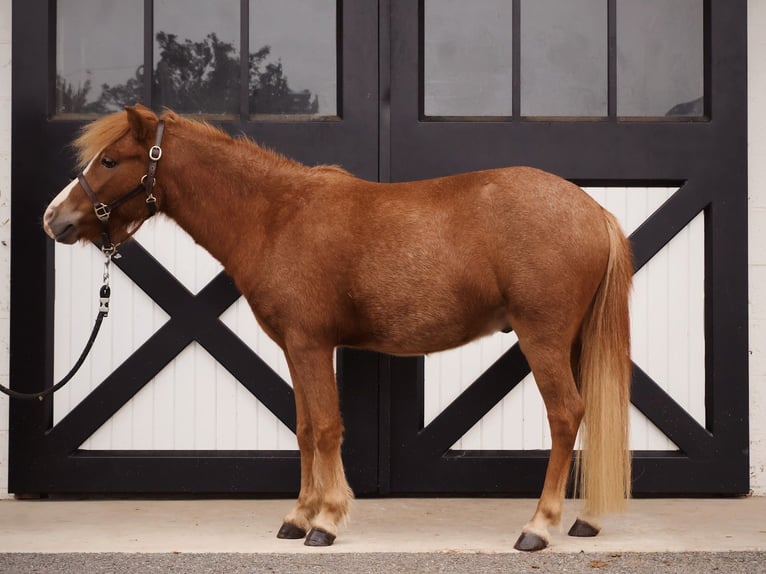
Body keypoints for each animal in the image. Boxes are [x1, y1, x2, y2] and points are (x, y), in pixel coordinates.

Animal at [42, 104, 633, 551]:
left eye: (110, 159)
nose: (54, 219)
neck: (276, 216)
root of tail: (593, 209)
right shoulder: (294, 348)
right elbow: (305, 429)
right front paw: (298, 517)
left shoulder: (310, 344)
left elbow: (325, 427)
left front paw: (324, 522)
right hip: (573, 340)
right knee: (587, 413)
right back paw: (585, 520)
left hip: (543, 338)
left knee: (565, 414)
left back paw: (538, 527)